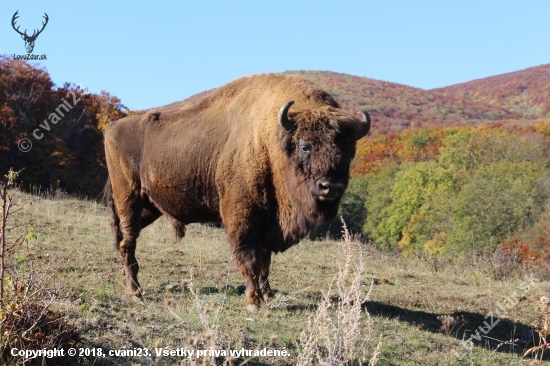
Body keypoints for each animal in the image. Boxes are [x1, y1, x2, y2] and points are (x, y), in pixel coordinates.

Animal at [104, 73, 370, 310]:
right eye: (305, 146)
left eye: (350, 150)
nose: (330, 187)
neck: (272, 140)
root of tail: (111, 128)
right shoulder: (243, 219)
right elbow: (250, 259)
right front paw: (253, 301)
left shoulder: (268, 224)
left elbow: (265, 261)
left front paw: (268, 295)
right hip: (128, 198)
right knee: (127, 242)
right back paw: (136, 291)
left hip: (149, 207)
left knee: (124, 239)